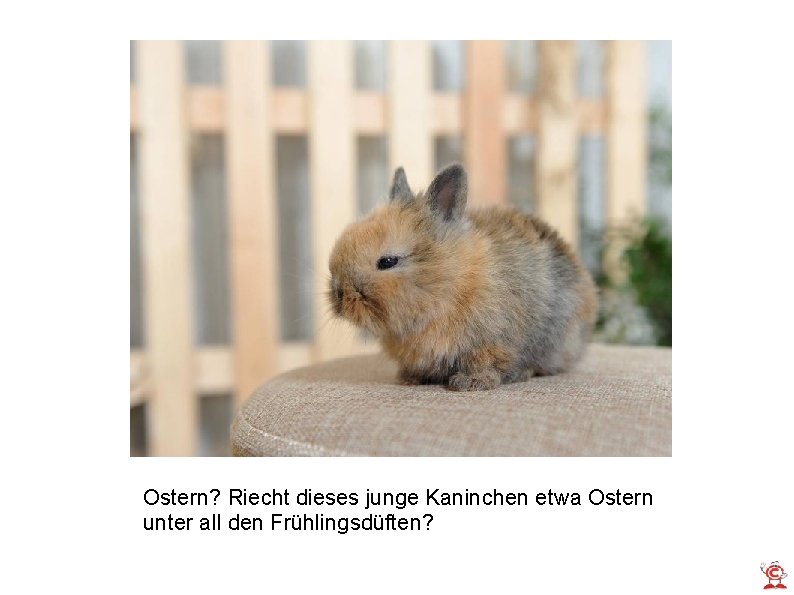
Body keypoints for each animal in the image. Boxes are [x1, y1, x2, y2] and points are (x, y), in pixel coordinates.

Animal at [328, 163, 597, 391]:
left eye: (387, 262)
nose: (340, 295)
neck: (448, 286)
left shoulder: (492, 343)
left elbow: (486, 363)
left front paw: (472, 383)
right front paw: (409, 378)